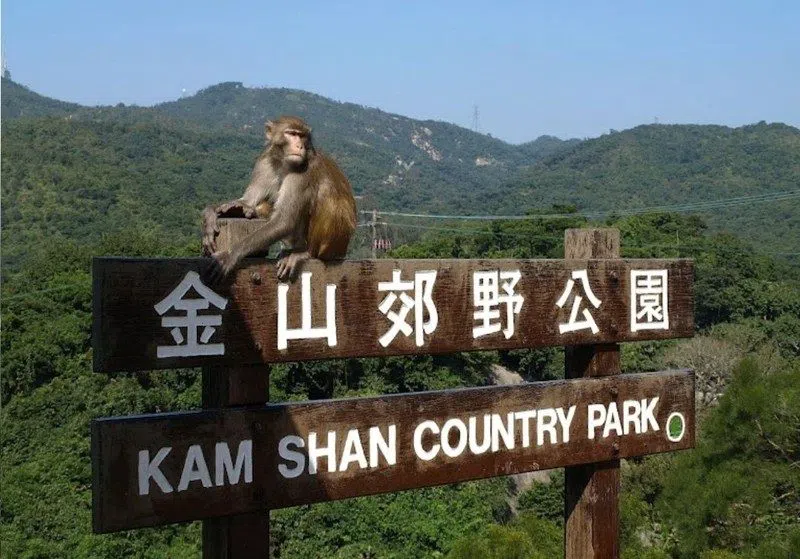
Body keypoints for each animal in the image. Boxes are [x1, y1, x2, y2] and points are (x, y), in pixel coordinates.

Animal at [203, 116, 357, 283]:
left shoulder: (302, 171)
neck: (284, 162)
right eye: (292, 134)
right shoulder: (265, 162)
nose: (299, 145)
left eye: (302, 136)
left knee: (325, 194)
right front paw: (217, 212)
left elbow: (284, 221)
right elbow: (248, 200)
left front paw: (230, 254)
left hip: (333, 246)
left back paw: (305, 253)